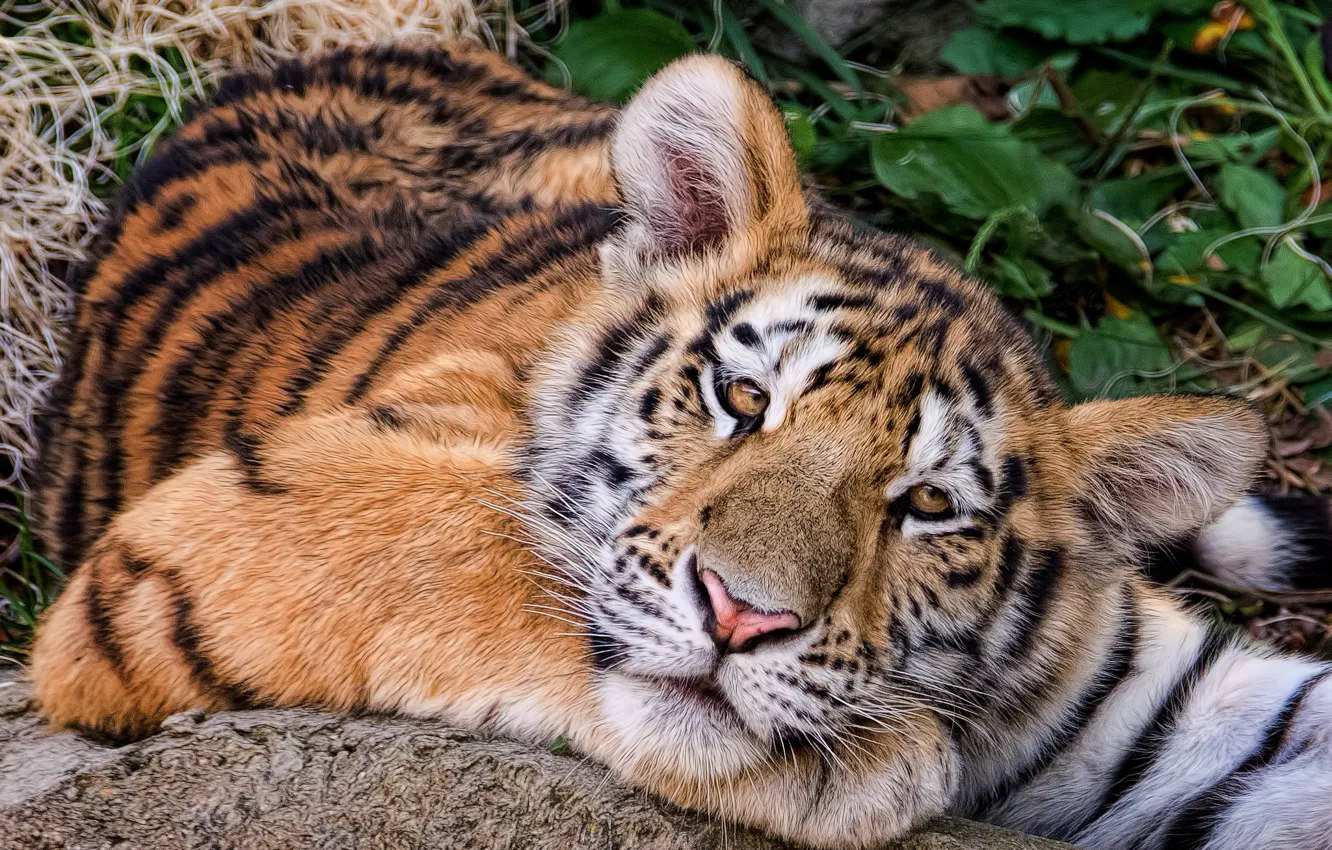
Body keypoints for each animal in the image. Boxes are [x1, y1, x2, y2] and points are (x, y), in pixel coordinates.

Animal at [25, 41, 1332, 850]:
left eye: (925, 506)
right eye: (741, 397)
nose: (744, 617)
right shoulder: (231, 518)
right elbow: (491, 559)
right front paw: (865, 764)